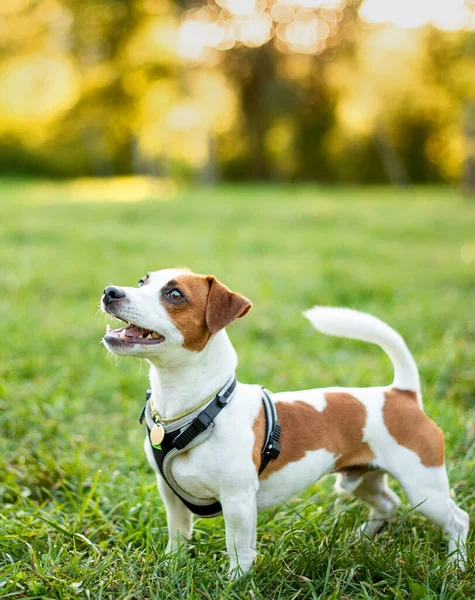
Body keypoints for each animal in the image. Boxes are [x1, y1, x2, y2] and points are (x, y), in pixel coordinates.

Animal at [99, 268, 468, 576]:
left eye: (175, 294)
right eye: (142, 281)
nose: (110, 291)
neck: (198, 408)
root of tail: (400, 393)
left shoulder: (237, 501)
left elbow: (239, 549)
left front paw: (235, 582)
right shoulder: (171, 495)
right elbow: (178, 535)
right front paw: (171, 566)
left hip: (424, 487)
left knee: (457, 519)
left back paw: (456, 564)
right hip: (361, 479)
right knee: (388, 503)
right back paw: (361, 539)